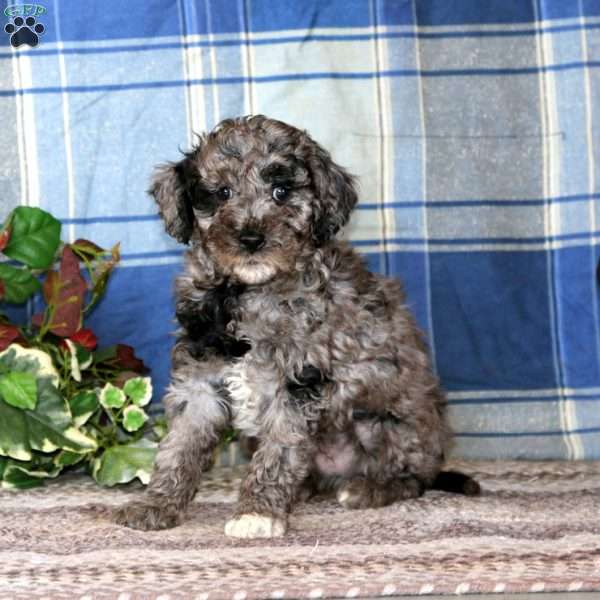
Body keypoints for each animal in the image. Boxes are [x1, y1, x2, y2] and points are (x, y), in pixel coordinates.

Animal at [113, 115, 478, 536]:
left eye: (281, 191)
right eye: (222, 193)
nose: (251, 238)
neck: (246, 292)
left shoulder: (297, 382)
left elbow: (279, 451)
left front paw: (257, 512)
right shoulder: (200, 377)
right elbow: (179, 447)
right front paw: (157, 503)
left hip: (386, 421)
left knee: (413, 476)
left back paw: (368, 488)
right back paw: (305, 489)